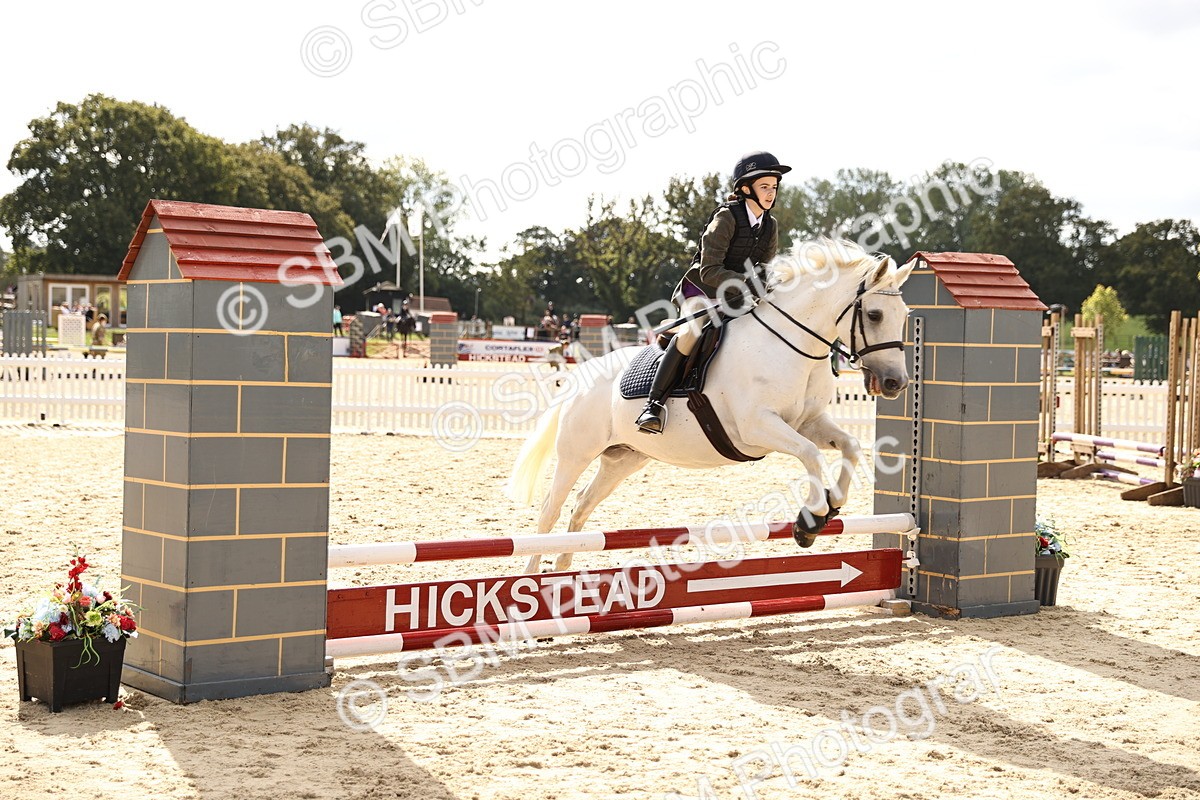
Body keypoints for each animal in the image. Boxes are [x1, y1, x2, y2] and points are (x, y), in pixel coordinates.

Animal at [507, 239, 915, 574]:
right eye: (875, 315)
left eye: (906, 316)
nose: (896, 383)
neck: (792, 345)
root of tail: (583, 374)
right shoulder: (759, 427)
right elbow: (811, 455)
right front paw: (812, 518)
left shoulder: (808, 422)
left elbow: (849, 446)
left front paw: (829, 508)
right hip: (576, 453)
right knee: (550, 509)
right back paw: (530, 577)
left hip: (623, 459)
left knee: (581, 506)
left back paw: (563, 569)